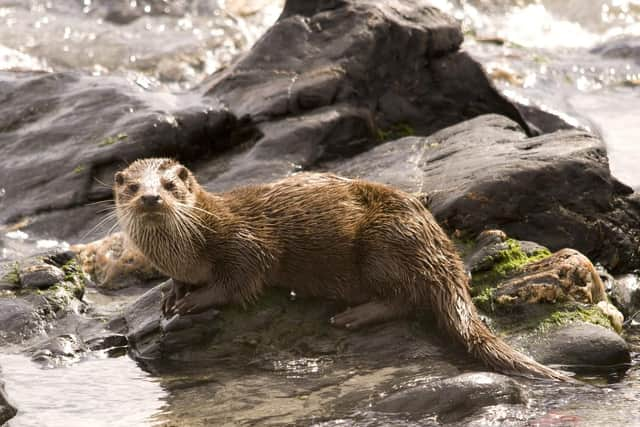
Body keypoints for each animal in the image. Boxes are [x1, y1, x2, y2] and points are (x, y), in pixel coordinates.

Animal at [115, 158, 568, 382]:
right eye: (132, 187)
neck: (190, 244)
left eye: (170, 185)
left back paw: (353, 316)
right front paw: (172, 294)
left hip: (384, 244)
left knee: (407, 298)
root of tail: (444, 253)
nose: (151, 198)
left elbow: (242, 279)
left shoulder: (245, 242)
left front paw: (192, 301)